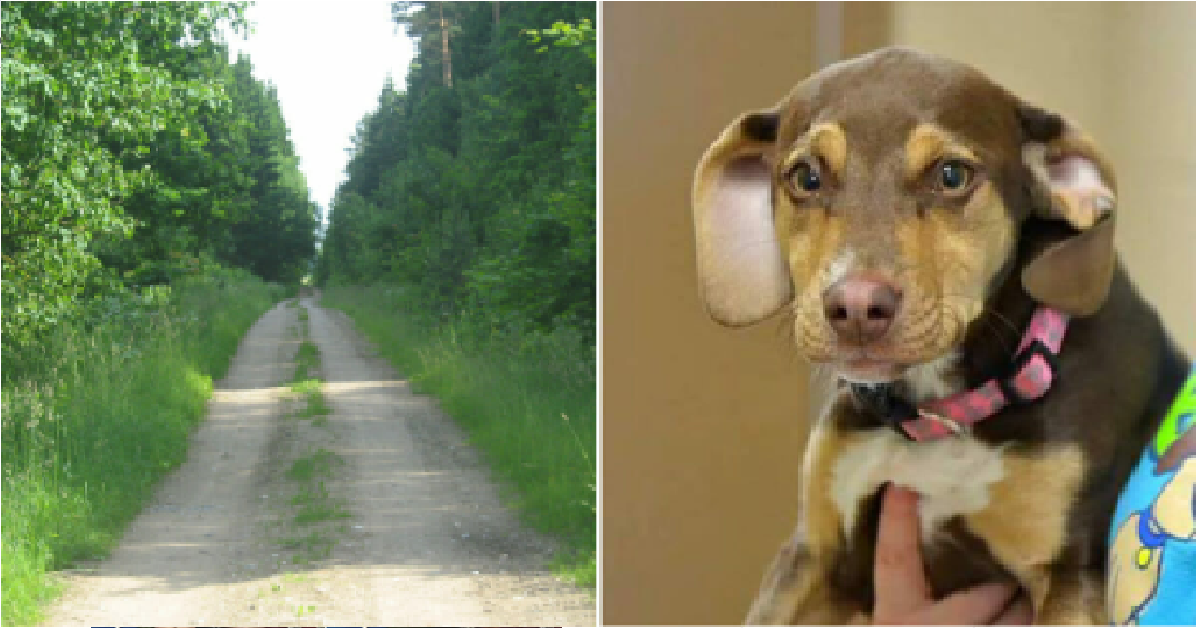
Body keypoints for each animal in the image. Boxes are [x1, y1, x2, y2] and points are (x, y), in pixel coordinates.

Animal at [691, 48, 1185, 624]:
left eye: (951, 175)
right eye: (805, 177)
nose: (856, 308)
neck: (940, 414)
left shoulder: (1067, 573)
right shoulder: (813, 551)